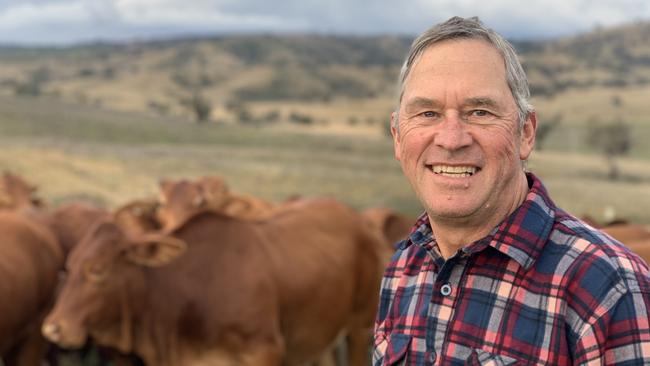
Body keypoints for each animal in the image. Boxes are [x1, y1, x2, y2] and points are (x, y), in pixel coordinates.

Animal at [41, 199, 384, 366]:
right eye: (68, 266)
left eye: (97, 270)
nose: (53, 328)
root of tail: (359, 221)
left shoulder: (265, 352)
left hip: (360, 329)